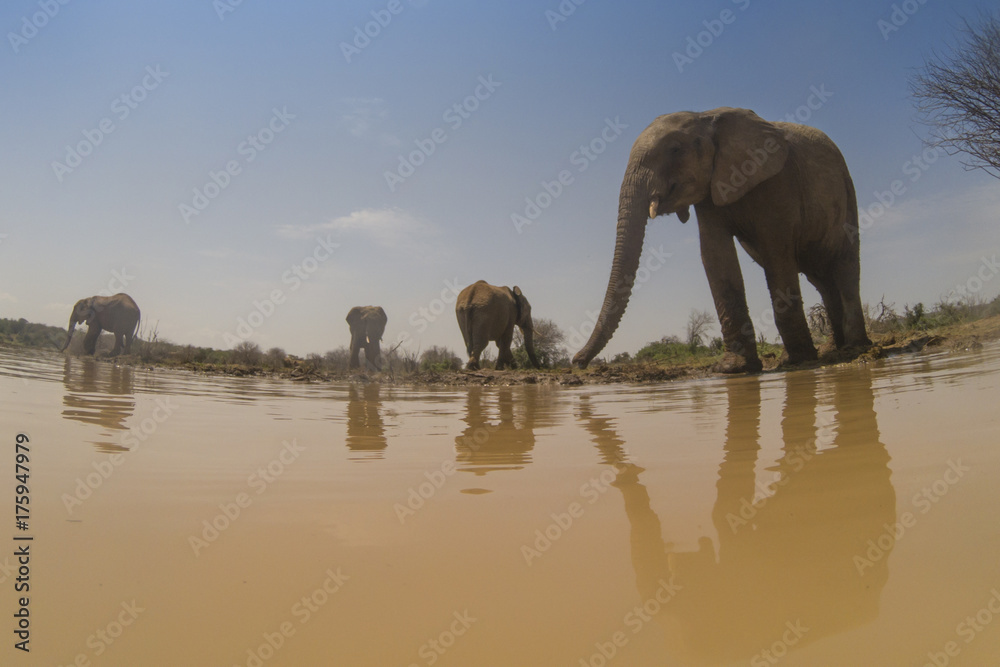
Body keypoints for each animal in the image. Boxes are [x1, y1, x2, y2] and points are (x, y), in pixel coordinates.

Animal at [573, 107, 872, 373]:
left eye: (675, 150)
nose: (577, 362)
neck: (706, 117)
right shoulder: (708, 192)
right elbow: (715, 255)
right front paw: (734, 369)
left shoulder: (778, 181)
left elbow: (777, 252)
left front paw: (799, 361)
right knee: (821, 280)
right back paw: (833, 349)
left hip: (848, 195)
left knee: (844, 269)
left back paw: (854, 348)